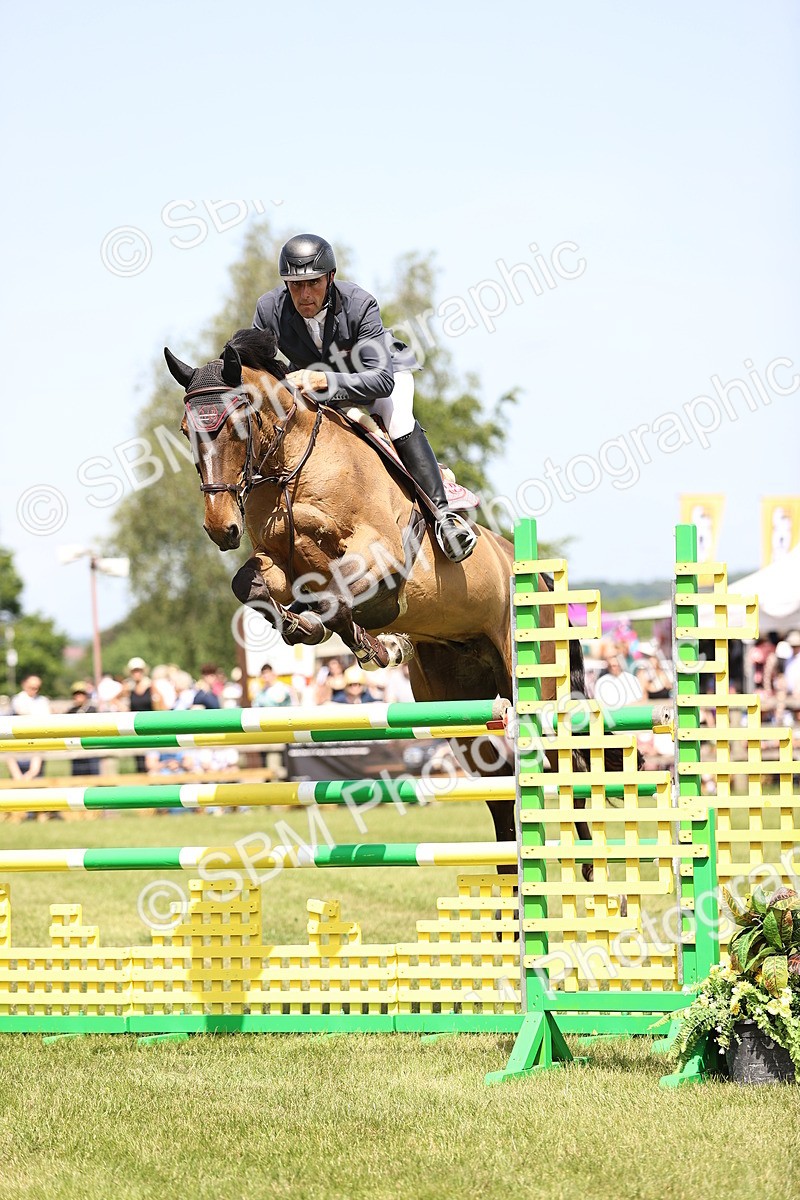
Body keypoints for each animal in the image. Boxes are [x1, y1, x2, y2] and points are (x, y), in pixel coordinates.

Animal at [164, 327, 590, 855]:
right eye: (187, 430)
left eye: (236, 424)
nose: (220, 528)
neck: (293, 465)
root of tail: (539, 578)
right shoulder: (282, 560)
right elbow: (253, 584)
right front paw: (345, 637)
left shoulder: (380, 553)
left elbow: (335, 596)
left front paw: (363, 642)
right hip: (458, 702)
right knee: (499, 781)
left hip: (534, 684)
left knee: (567, 771)